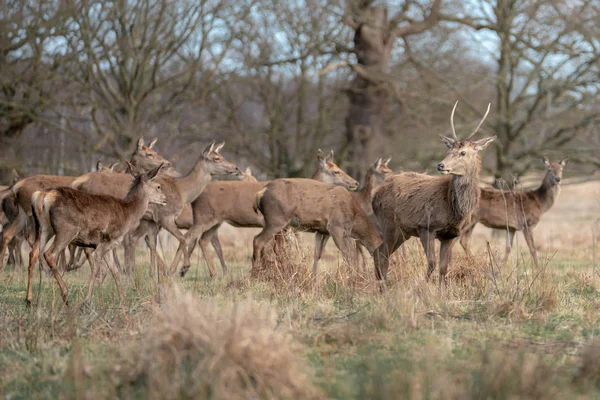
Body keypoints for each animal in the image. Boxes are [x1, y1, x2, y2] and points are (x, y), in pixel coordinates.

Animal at [26, 161, 166, 310]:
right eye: (158, 186)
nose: (165, 199)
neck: (127, 215)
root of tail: (43, 196)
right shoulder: (105, 240)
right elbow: (96, 268)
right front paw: (87, 300)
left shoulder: (110, 245)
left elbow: (115, 271)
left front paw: (123, 301)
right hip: (66, 230)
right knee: (49, 254)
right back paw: (65, 294)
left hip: (43, 228)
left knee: (34, 254)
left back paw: (33, 298)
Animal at [172, 150, 356, 278]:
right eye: (336, 171)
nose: (354, 182)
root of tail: (195, 197)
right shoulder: (284, 226)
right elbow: (282, 249)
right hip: (203, 218)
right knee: (189, 237)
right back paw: (178, 270)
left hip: (215, 221)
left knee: (203, 240)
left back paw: (212, 273)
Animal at [253, 155, 390, 292]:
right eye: (384, 258)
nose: (383, 281)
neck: (354, 217)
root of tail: (260, 193)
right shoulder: (336, 227)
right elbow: (349, 255)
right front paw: (350, 284)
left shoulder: (323, 231)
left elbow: (317, 255)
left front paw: (315, 285)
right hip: (276, 220)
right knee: (258, 241)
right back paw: (255, 276)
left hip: (279, 224)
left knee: (270, 246)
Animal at [370, 100, 496, 288]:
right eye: (448, 150)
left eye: (463, 152)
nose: (440, 165)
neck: (454, 211)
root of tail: (374, 195)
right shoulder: (425, 226)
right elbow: (432, 263)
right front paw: (423, 287)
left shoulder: (451, 235)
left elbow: (444, 268)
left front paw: (441, 290)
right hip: (389, 223)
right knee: (382, 254)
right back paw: (382, 287)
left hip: (402, 232)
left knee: (378, 252)